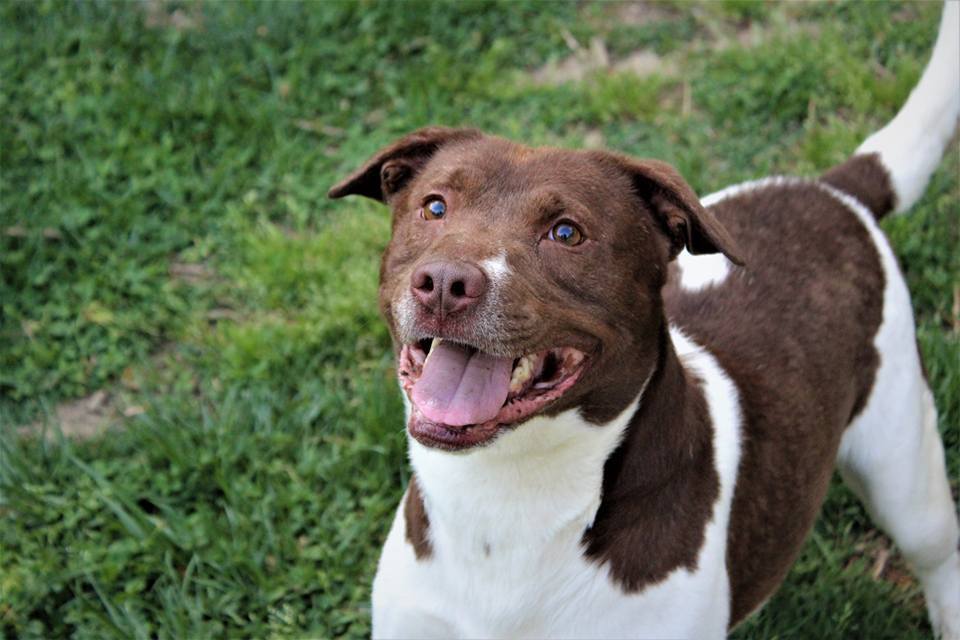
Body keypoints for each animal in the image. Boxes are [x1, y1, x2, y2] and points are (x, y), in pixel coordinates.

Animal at [330, 3, 960, 636]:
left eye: (566, 232)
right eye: (434, 206)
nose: (444, 284)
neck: (505, 493)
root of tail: (831, 189)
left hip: (903, 462)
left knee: (936, 549)